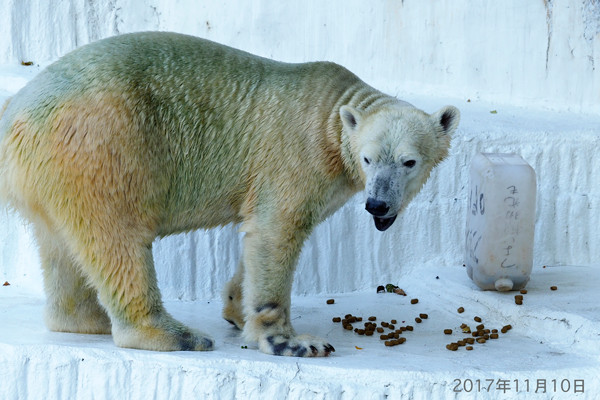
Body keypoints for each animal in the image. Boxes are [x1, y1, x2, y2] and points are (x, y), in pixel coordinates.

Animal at [0, 32, 459, 357]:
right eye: (368, 159)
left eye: (408, 162)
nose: (377, 204)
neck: (333, 118)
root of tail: (13, 117)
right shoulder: (296, 158)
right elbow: (277, 231)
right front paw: (292, 341)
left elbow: (256, 236)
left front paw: (237, 308)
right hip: (103, 144)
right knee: (118, 236)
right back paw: (176, 335)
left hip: (50, 171)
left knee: (62, 244)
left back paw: (88, 317)